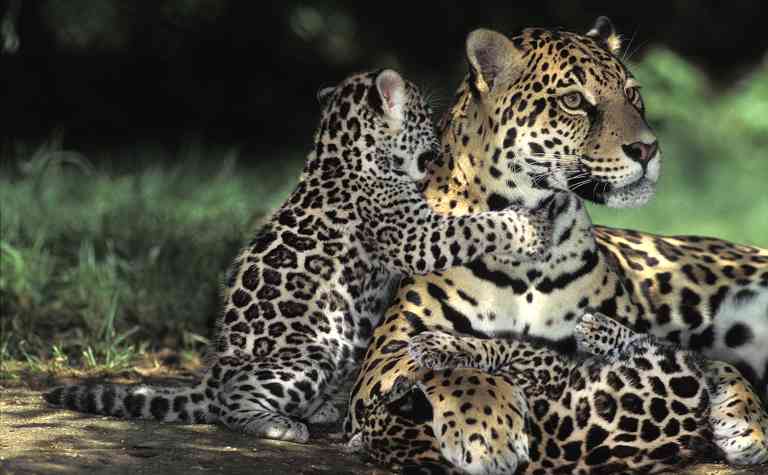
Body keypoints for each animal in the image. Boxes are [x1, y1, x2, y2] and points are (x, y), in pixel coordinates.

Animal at [43, 69, 552, 443]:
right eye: (424, 113)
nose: (443, 135)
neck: (340, 148)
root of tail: (210, 377)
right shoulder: (412, 233)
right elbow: (469, 226)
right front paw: (523, 222)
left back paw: (321, 408)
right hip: (310, 355)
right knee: (229, 405)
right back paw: (278, 425)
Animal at [345, 17, 768, 474]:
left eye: (632, 94)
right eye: (573, 101)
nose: (647, 149)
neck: (533, 250)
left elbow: (716, 365)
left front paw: (749, 422)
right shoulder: (384, 354)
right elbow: (449, 367)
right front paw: (487, 430)